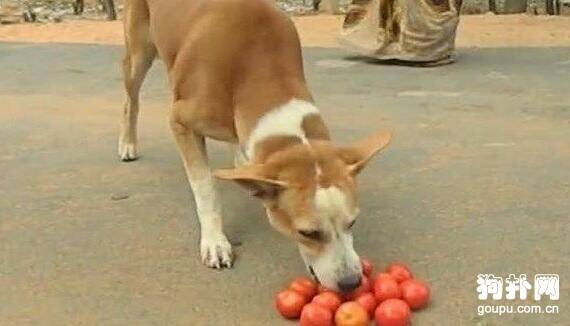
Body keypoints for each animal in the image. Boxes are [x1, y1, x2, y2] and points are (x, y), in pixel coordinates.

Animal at [117, 0, 388, 292]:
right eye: (307, 233)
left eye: (353, 222)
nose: (351, 282)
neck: (258, 67)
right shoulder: (180, 121)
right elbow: (205, 188)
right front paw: (215, 242)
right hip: (139, 53)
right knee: (130, 100)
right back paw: (127, 143)